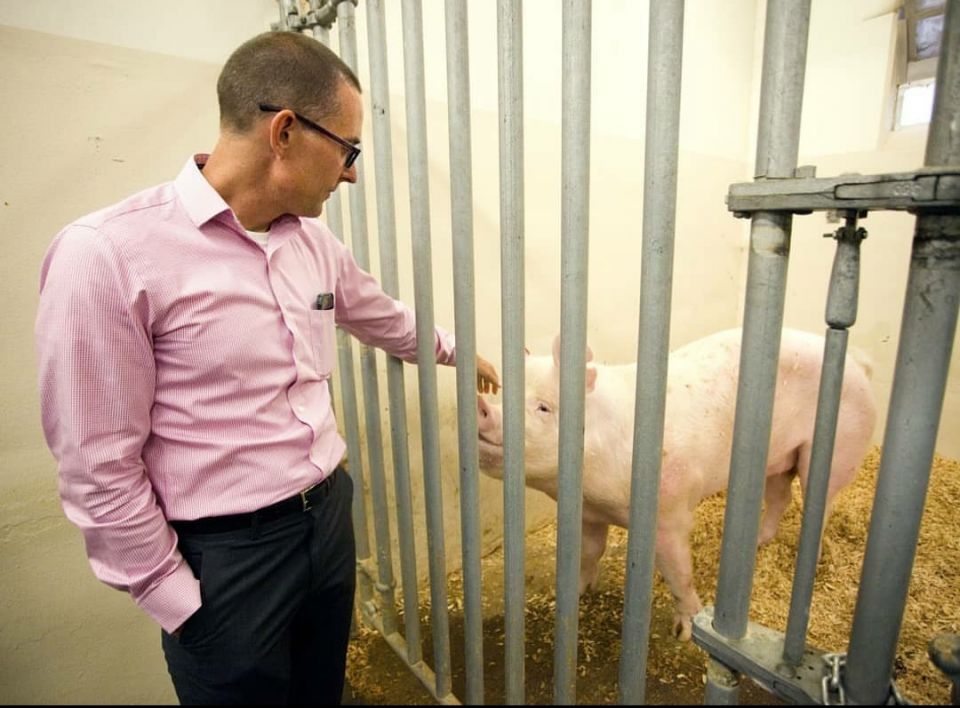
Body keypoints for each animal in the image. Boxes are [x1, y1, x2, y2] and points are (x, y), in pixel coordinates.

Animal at [476, 327, 876, 641]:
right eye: (503, 394)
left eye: (544, 407)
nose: (482, 406)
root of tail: (860, 364)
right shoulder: (590, 513)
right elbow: (590, 552)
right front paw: (576, 593)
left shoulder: (671, 512)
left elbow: (677, 572)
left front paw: (684, 632)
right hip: (776, 459)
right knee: (781, 496)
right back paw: (761, 542)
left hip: (838, 450)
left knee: (819, 503)